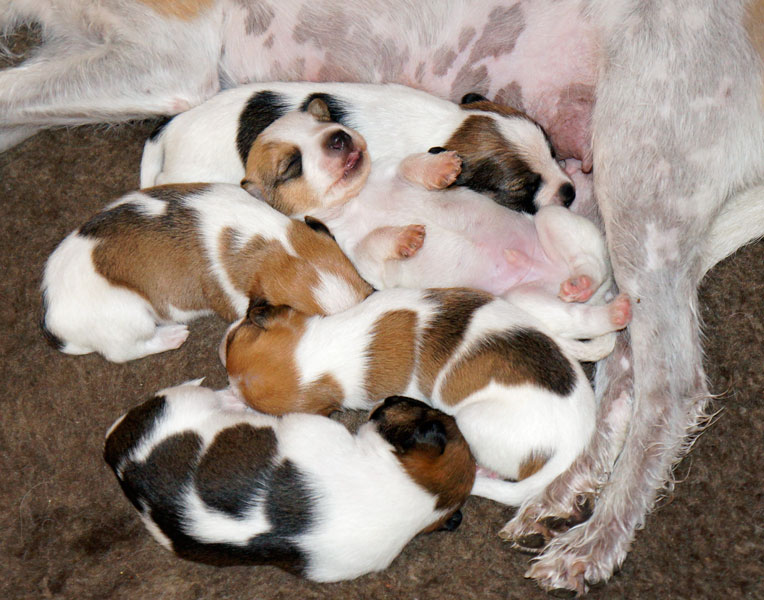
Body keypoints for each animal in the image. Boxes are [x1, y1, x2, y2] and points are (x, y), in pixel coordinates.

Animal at [104, 380, 475, 582]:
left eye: (405, 403)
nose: (389, 397)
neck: (424, 492)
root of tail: (116, 453)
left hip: (180, 399)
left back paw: (233, 400)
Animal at [221, 287, 631, 508]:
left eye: (233, 336)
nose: (220, 342)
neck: (330, 350)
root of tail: (575, 444)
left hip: (471, 421)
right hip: (523, 306)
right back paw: (614, 311)